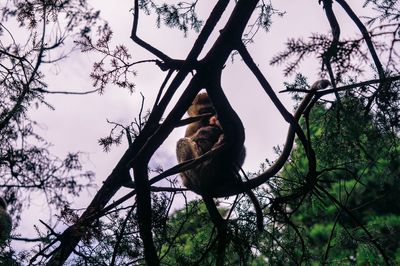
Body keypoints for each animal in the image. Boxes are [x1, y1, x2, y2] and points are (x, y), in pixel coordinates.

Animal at [177, 92, 264, 230]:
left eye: (212, 110)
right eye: (204, 111)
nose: (211, 117)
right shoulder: (192, 126)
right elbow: (191, 138)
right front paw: (206, 133)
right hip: (194, 175)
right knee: (182, 143)